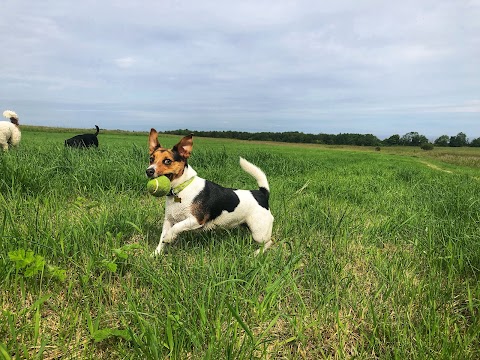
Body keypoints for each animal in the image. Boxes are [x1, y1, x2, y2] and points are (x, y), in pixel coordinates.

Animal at [146, 129, 274, 256]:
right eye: (151, 159)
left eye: (167, 161)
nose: (149, 171)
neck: (182, 187)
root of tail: (261, 193)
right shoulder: (168, 220)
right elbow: (161, 239)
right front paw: (155, 254)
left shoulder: (196, 220)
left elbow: (176, 227)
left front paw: (169, 237)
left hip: (259, 232)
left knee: (269, 242)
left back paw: (257, 253)